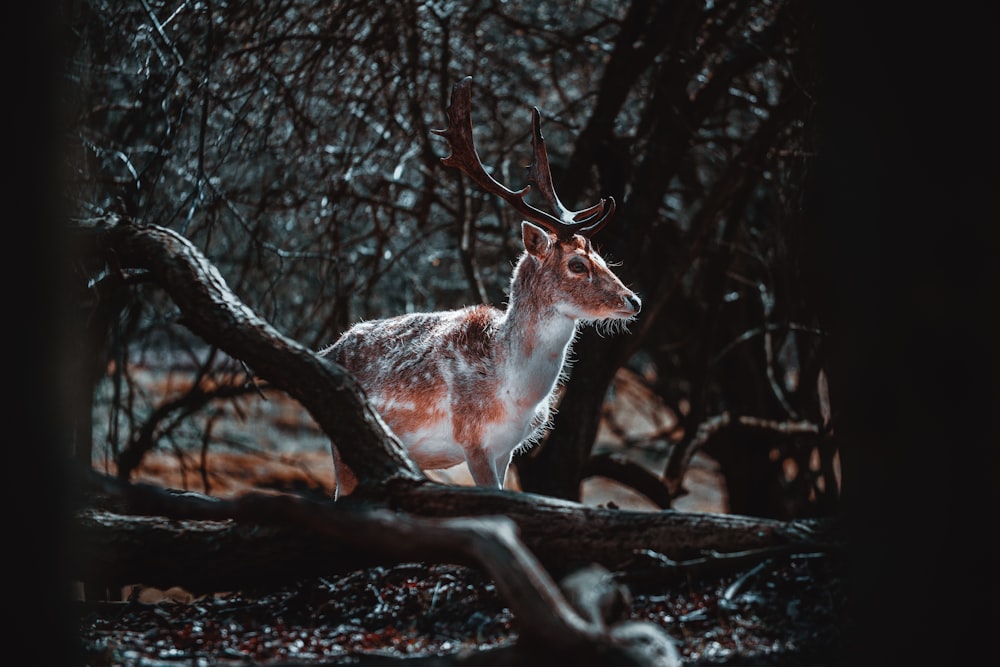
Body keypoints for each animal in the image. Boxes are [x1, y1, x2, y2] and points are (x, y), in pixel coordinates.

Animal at [324, 77, 644, 490]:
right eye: (576, 264)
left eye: (604, 258)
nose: (633, 300)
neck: (514, 395)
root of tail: (328, 350)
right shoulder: (473, 441)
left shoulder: (508, 450)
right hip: (341, 447)